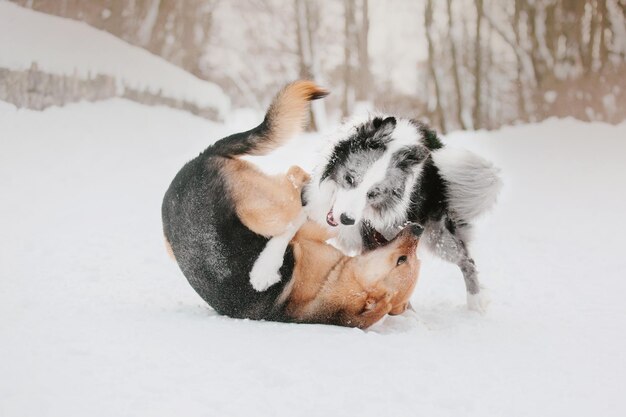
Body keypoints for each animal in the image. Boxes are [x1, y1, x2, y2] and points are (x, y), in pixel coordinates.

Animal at [162, 80, 420, 328]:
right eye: (403, 260)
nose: (417, 228)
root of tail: (198, 159)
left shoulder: (317, 230)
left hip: (270, 211)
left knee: (293, 187)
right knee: (298, 185)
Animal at [300, 115, 500, 310]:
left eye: (373, 193)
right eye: (349, 178)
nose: (346, 219)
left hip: (438, 236)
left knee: (466, 261)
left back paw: (475, 303)